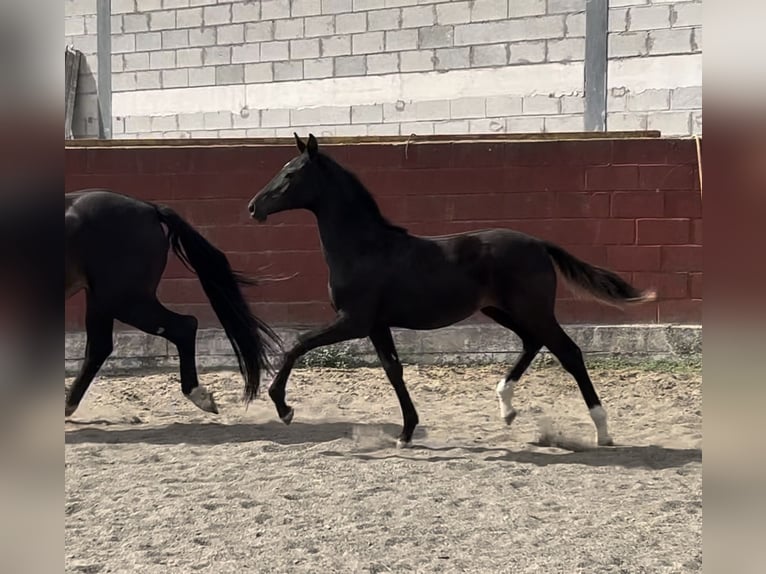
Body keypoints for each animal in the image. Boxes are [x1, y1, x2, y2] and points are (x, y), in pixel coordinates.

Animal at [66, 192, 282, 418]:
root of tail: (150, 209)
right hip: (103, 300)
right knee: (99, 347)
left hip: (122, 299)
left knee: (184, 326)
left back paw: (198, 395)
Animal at [249, 135, 656, 450]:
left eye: (290, 173)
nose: (254, 207)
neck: (365, 249)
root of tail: (539, 244)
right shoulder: (377, 325)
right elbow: (393, 370)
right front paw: (406, 433)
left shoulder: (353, 321)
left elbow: (297, 344)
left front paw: (284, 408)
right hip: (502, 310)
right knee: (532, 342)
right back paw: (507, 407)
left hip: (532, 309)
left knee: (568, 352)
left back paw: (602, 431)